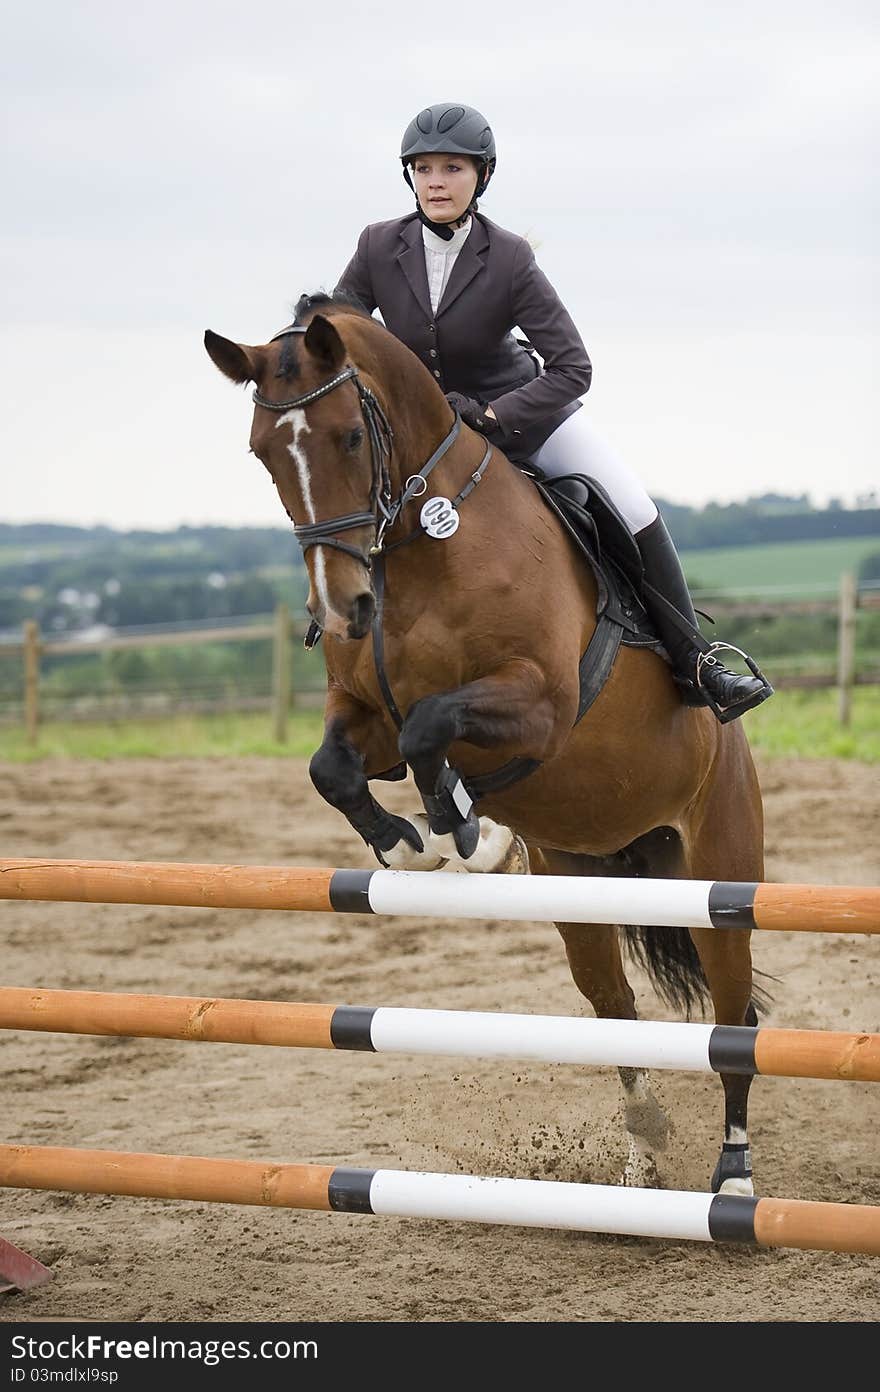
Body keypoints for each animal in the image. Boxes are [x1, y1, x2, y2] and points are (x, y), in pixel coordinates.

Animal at [204, 293, 763, 1197]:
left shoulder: (541, 704)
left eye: (349, 438)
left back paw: (735, 1178)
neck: (417, 549)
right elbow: (335, 767)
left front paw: (463, 831)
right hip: (578, 883)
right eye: (262, 455)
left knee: (732, 1016)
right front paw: (411, 843)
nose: (343, 610)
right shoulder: (365, 713)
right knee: (614, 1006)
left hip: (720, 876)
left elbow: (435, 726)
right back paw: (644, 1148)